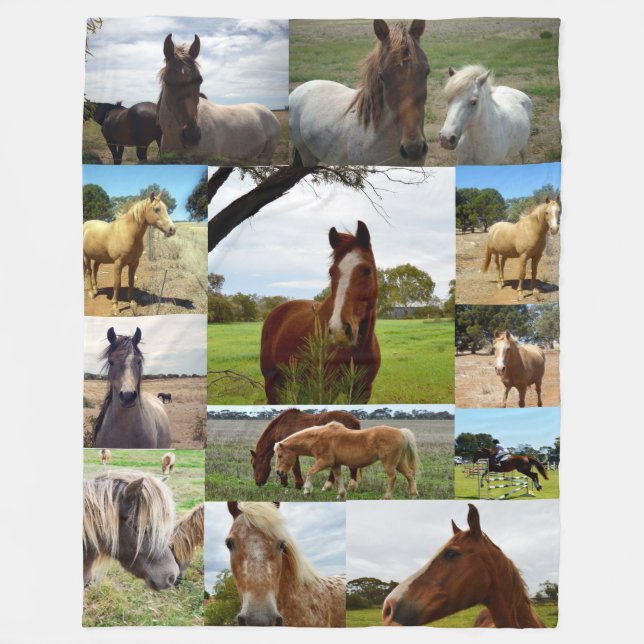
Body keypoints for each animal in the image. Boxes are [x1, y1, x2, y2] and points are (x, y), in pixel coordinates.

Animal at [260, 221, 380, 404]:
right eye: (331, 272)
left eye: (366, 270)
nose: (339, 331)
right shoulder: (326, 389)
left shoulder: (363, 391)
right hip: (271, 382)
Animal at [275, 422, 419, 500]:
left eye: (280, 455)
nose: (278, 472)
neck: (318, 438)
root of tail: (401, 432)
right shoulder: (335, 464)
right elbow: (338, 479)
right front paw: (341, 495)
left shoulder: (325, 462)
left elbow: (310, 472)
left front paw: (307, 491)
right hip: (399, 462)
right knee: (409, 475)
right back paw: (413, 494)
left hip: (389, 463)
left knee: (392, 477)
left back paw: (386, 497)